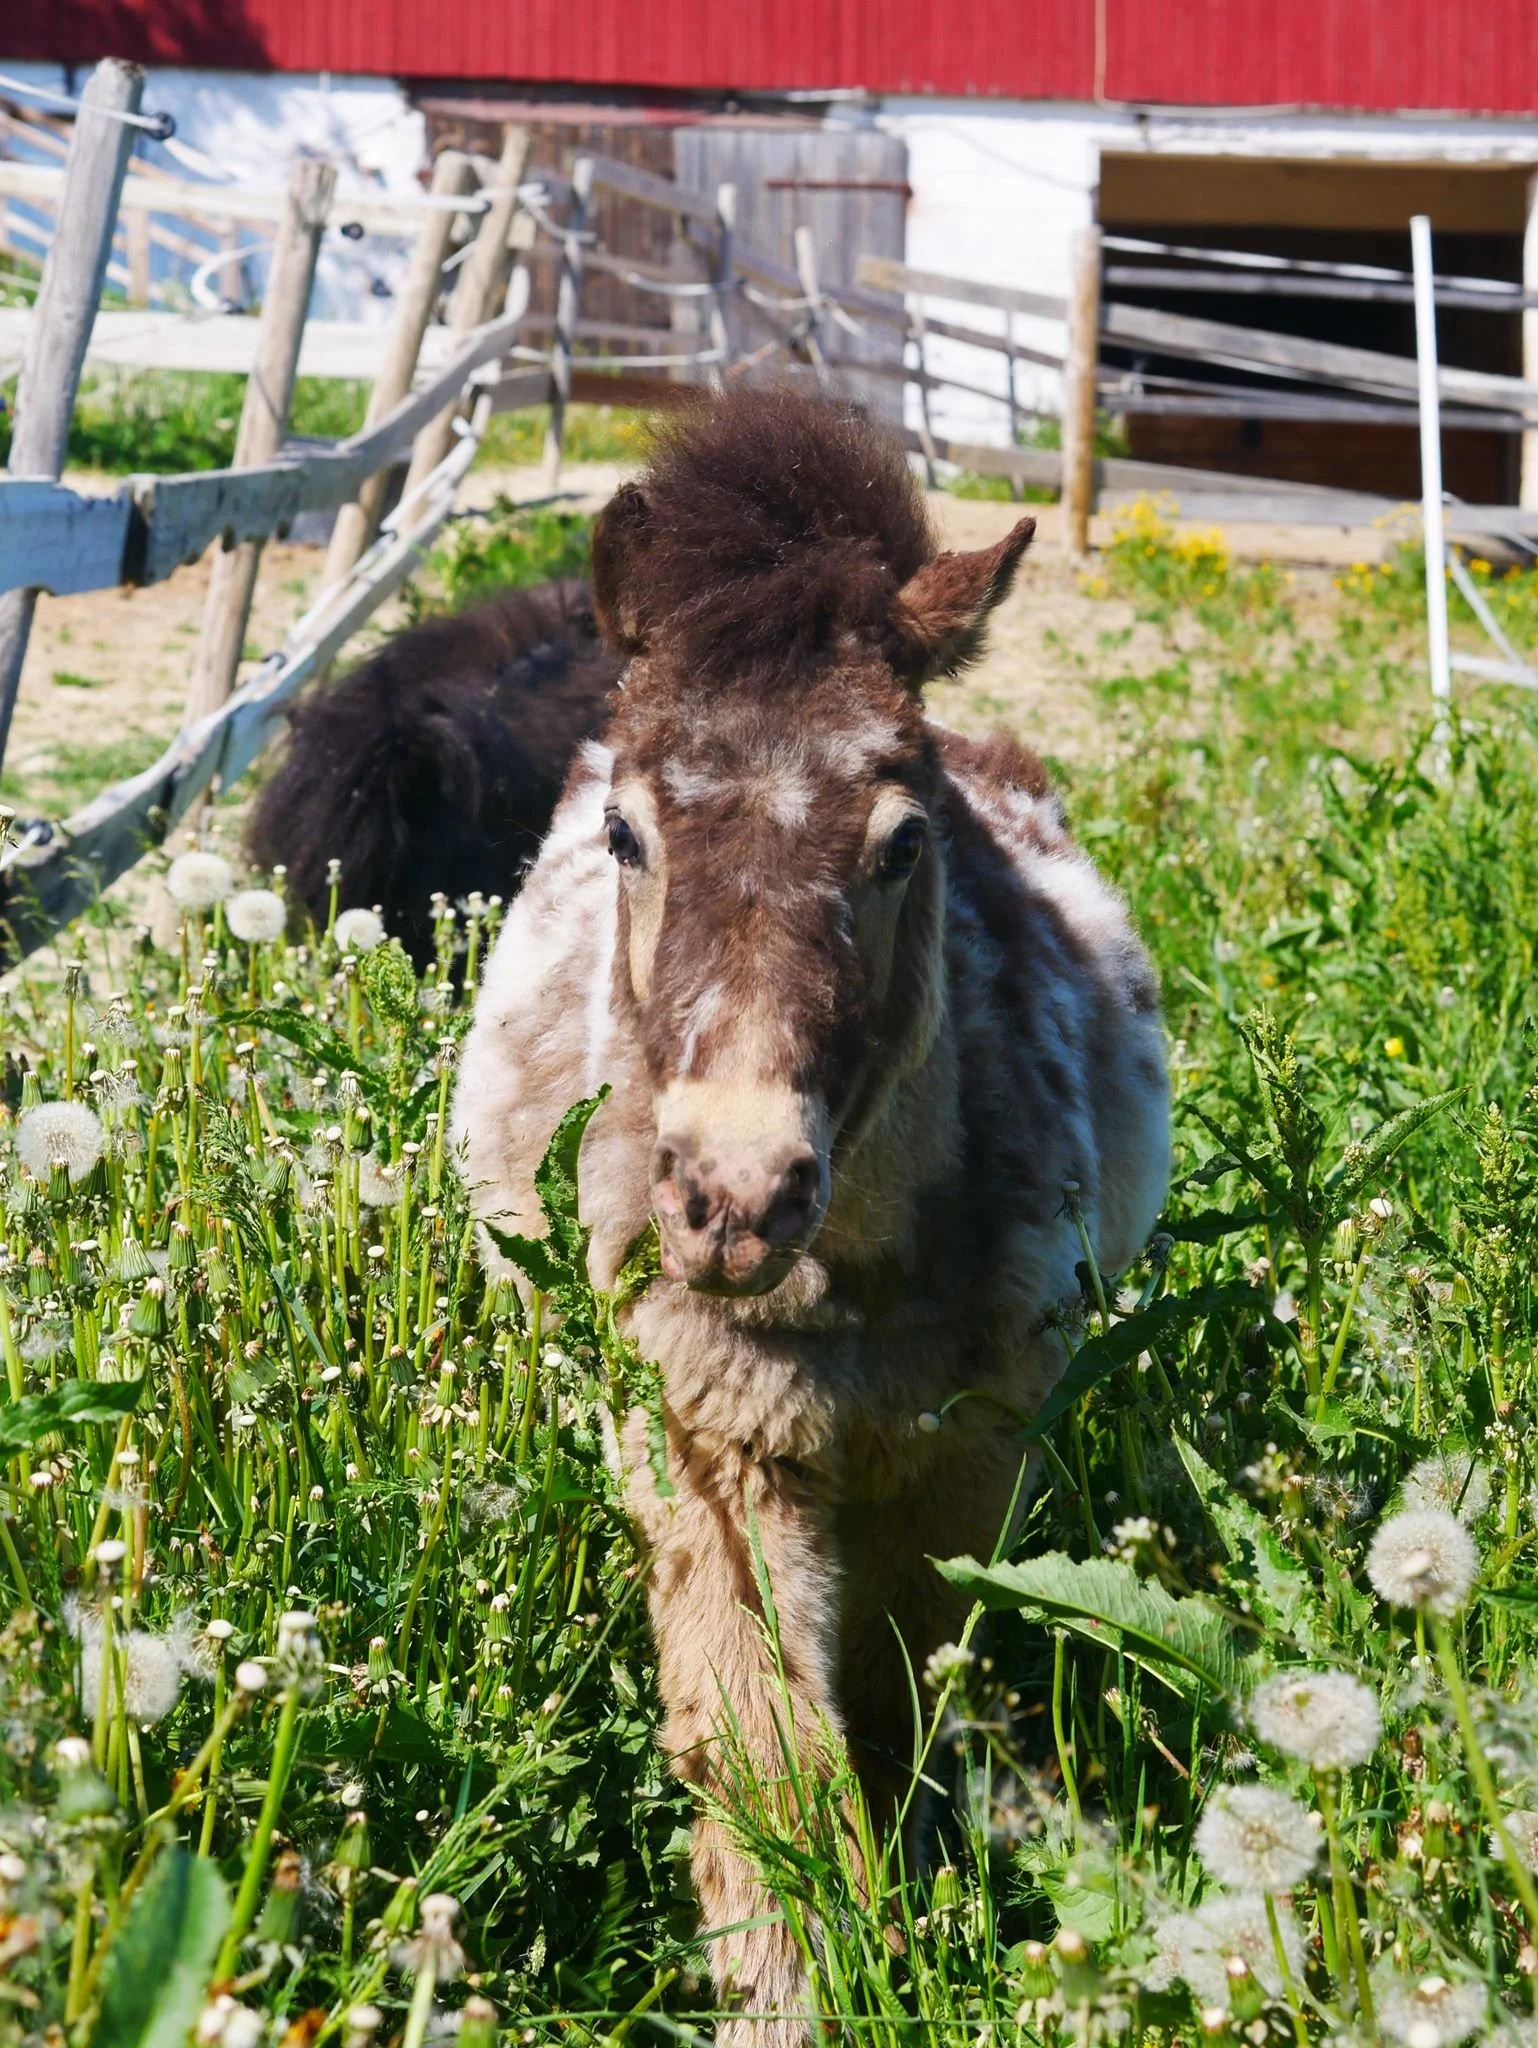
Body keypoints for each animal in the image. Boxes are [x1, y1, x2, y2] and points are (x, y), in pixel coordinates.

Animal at [448, 389, 1171, 2041]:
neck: (844, 1298)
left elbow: (902, 1708)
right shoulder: (702, 1457)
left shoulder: (968, 1462)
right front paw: (797, 1984)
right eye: (628, 837)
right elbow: (762, 1750)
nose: (732, 1196)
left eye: (904, 839)